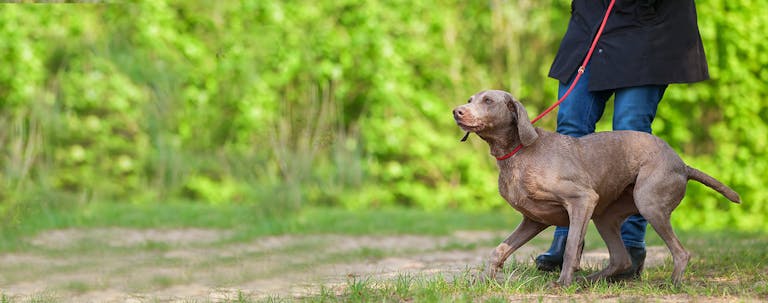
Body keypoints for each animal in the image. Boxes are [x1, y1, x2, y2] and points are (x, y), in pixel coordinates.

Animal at [452, 89, 740, 286]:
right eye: (469, 99)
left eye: (488, 101)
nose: (457, 111)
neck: (517, 152)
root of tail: (682, 164)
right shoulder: (534, 219)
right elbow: (499, 250)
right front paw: (484, 281)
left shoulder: (583, 199)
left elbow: (571, 246)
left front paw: (563, 283)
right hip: (606, 215)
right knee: (621, 258)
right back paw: (589, 280)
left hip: (648, 202)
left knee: (681, 252)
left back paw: (672, 284)